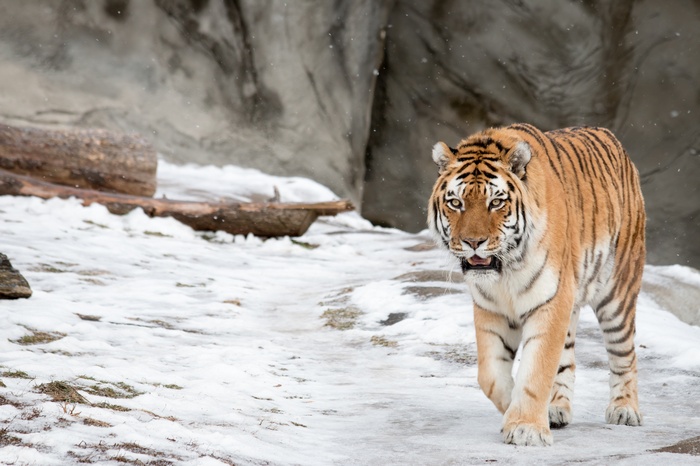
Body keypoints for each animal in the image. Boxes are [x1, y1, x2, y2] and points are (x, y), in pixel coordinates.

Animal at [427, 123, 645, 446]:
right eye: (456, 203)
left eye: (496, 202)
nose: (473, 242)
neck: (505, 271)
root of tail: (612, 137)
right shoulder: (491, 308)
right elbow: (490, 375)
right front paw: (516, 411)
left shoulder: (550, 302)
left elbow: (536, 370)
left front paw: (526, 428)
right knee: (567, 361)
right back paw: (556, 409)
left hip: (617, 292)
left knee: (624, 353)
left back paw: (625, 410)